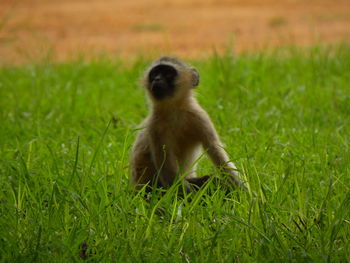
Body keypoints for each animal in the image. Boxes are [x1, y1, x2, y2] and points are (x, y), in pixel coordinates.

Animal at [130, 56, 245, 194]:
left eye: (168, 73)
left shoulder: (199, 116)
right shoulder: (154, 127)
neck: (174, 111)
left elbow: (216, 151)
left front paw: (246, 193)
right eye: (154, 74)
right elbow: (167, 169)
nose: (157, 79)